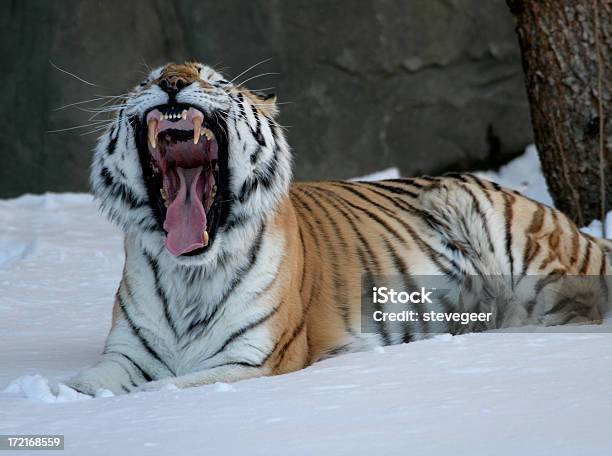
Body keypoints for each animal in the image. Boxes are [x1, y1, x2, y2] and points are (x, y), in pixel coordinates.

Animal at [65, 61, 612, 396]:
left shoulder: (255, 359)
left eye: (214, 79)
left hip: (521, 248)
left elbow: (163, 388)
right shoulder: (126, 354)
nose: (172, 81)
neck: (189, 273)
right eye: (147, 80)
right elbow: (86, 384)